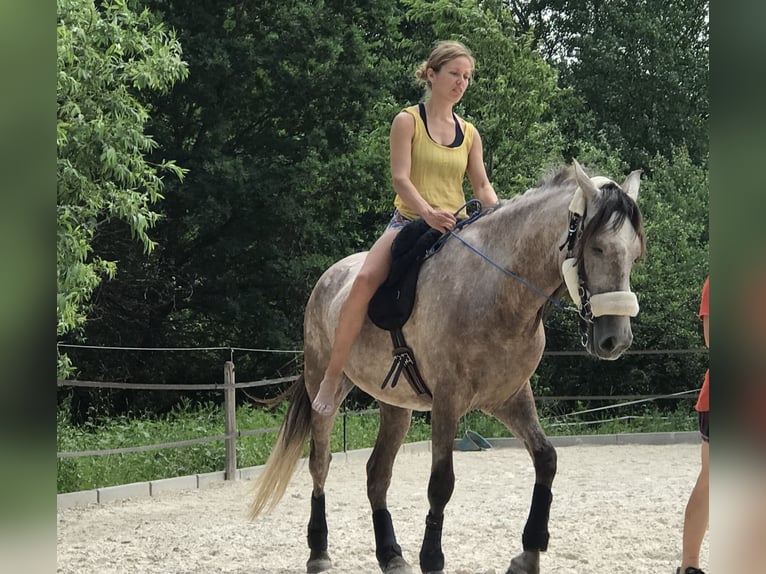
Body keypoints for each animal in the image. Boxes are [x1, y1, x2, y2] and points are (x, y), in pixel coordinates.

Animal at [249, 160, 645, 574]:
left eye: (635, 255)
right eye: (597, 247)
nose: (616, 340)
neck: (499, 290)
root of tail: (330, 276)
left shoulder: (511, 398)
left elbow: (546, 459)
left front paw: (529, 553)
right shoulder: (448, 400)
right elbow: (441, 483)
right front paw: (432, 557)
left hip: (396, 406)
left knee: (377, 474)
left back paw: (391, 555)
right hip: (325, 383)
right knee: (320, 464)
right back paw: (319, 552)